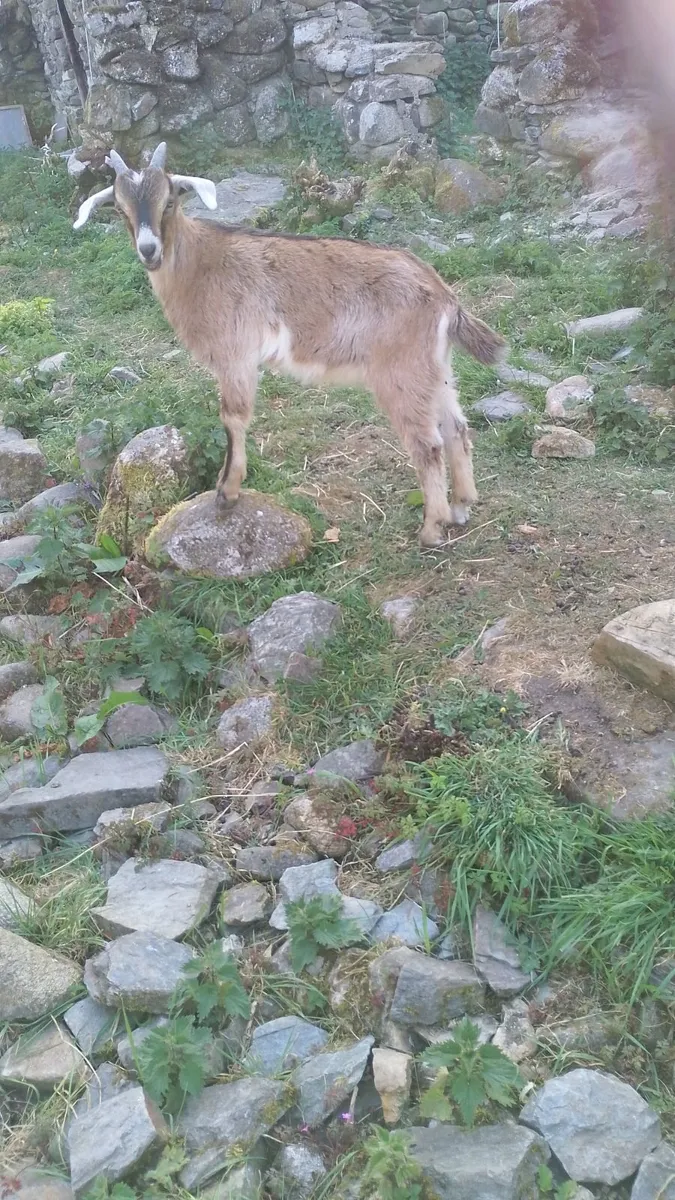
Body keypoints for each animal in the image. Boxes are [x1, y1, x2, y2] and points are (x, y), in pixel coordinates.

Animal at [74, 142, 506, 547]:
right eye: (120, 209)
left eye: (169, 200)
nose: (149, 251)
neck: (200, 264)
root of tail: (444, 296)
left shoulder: (236, 354)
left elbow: (233, 418)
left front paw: (226, 493)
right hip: (434, 367)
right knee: (456, 428)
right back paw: (462, 506)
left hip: (400, 370)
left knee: (428, 444)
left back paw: (432, 528)